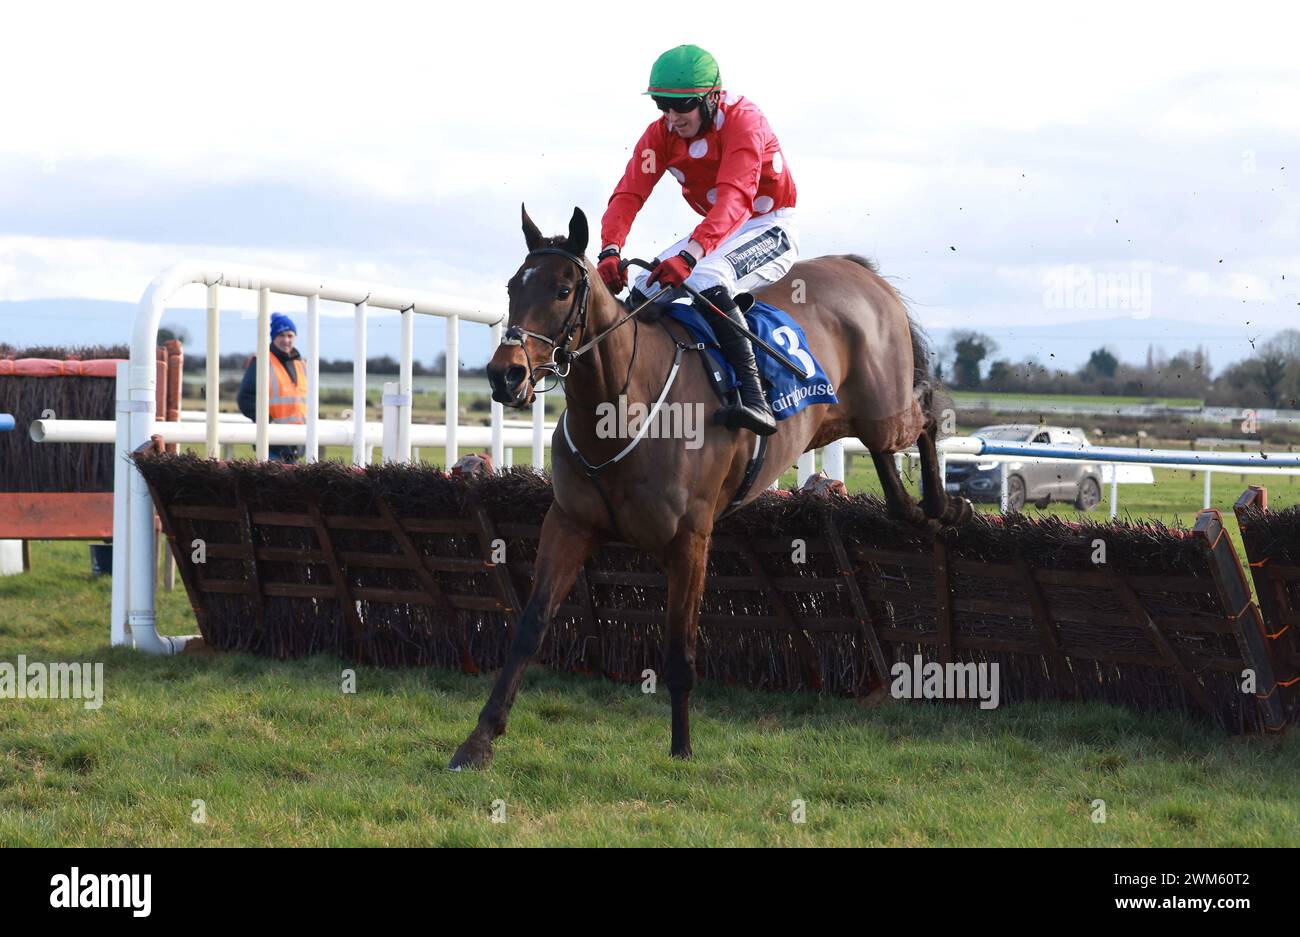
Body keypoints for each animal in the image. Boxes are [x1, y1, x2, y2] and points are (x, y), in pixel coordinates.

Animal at [447, 205, 967, 769]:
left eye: (563, 290)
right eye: (512, 287)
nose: (505, 375)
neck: (622, 410)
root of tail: (861, 272)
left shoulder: (690, 539)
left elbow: (680, 650)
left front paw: (682, 747)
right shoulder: (569, 522)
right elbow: (530, 626)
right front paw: (478, 740)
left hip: (884, 409)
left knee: (927, 418)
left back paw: (947, 505)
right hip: (850, 421)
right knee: (891, 474)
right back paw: (921, 511)